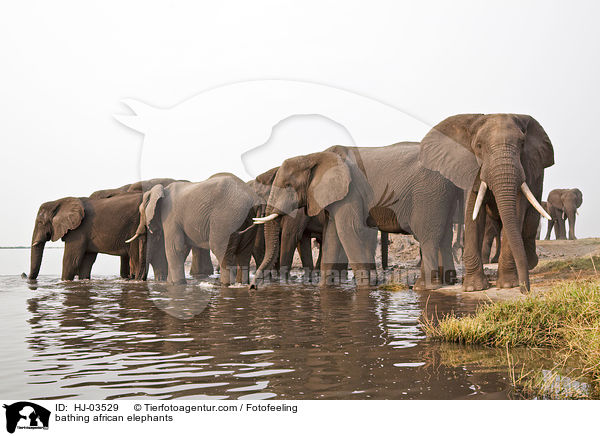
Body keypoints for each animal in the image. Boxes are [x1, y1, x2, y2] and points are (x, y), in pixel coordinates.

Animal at [127, 174, 262, 286]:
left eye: (140, 212)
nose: (138, 280)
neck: (160, 190)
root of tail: (253, 197)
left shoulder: (170, 216)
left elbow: (174, 248)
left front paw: (177, 284)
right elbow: (182, 248)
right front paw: (171, 283)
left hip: (225, 218)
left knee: (219, 249)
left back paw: (225, 285)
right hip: (246, 218)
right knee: (244, 253)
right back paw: (242, 284)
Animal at [251, 141, 462, 290]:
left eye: (288, 186)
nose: (253, 286)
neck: (313, 156)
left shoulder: (350, 192)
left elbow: (348, 231)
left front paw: (365, 289)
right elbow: (332, 237)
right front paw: (324, 289)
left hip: (429, 193)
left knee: (428, 237)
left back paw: (422, 287)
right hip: (443, 194)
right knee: (444, 237)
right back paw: (448, 283)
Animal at [418, 112, 552, 292]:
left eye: (522, 143)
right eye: (479, 146)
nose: (525, 290)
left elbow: (517, 210)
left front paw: (508, 285)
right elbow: (472, 210)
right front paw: (474, 288)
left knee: (530, 218)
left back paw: (530, 264)